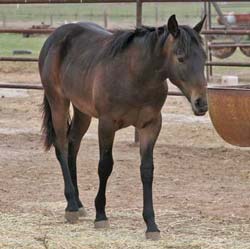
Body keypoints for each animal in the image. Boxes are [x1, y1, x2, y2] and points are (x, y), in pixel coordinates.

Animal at [39, 14, 207, 240]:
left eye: (204, 58)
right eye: (180, 57)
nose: (201, 104)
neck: (135, 75)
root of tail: (54, 37)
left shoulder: (150, 126)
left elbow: (147, 170)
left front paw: (151, 224)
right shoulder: (107, 125)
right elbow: (105, 166)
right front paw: (101, 215)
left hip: (82, 110)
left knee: (73, 145)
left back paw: (78, 203)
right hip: (58, 102)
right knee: (62, 147)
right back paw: (71, 206)